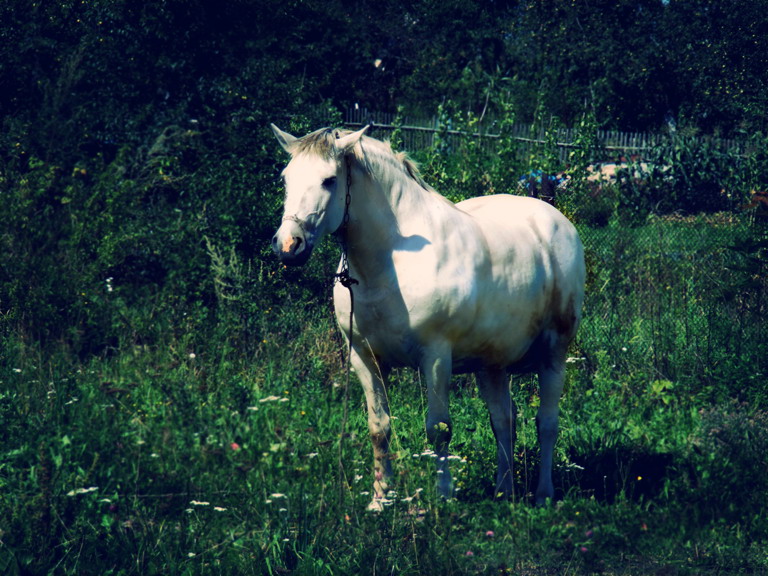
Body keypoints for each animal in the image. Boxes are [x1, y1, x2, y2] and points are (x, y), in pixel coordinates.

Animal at [270, 124, 585, 508]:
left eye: (329, 180)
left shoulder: (435, 357)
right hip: (490, 366)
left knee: (547, 423)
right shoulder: (365, 359)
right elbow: (379, 428)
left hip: (554, 353)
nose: (289, 245)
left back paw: (542, 495)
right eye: (286, 178)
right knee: (503, 420)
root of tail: (558, 223)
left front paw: (444, 496)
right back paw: (503, 491)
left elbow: (439, 429)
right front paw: (380, 499)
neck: (391, 261)